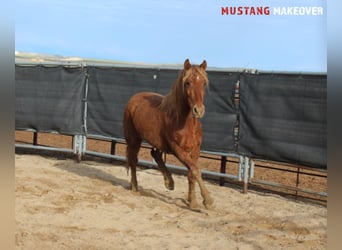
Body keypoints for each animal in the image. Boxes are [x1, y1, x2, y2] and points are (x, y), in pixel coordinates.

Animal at [123, 59, 214, 209]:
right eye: (187, 82)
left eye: (204, 83)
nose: (198, 110)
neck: (184, 122)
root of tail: (133, 99)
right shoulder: (178, 149)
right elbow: (195, 170)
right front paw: (207, 200)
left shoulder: (195, 150)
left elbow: (191, 173)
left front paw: (192, 201)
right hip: (134, 140)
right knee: (133, 160)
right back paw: (135, 187)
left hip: (156, 141)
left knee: (155, 154)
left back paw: (169, 182)